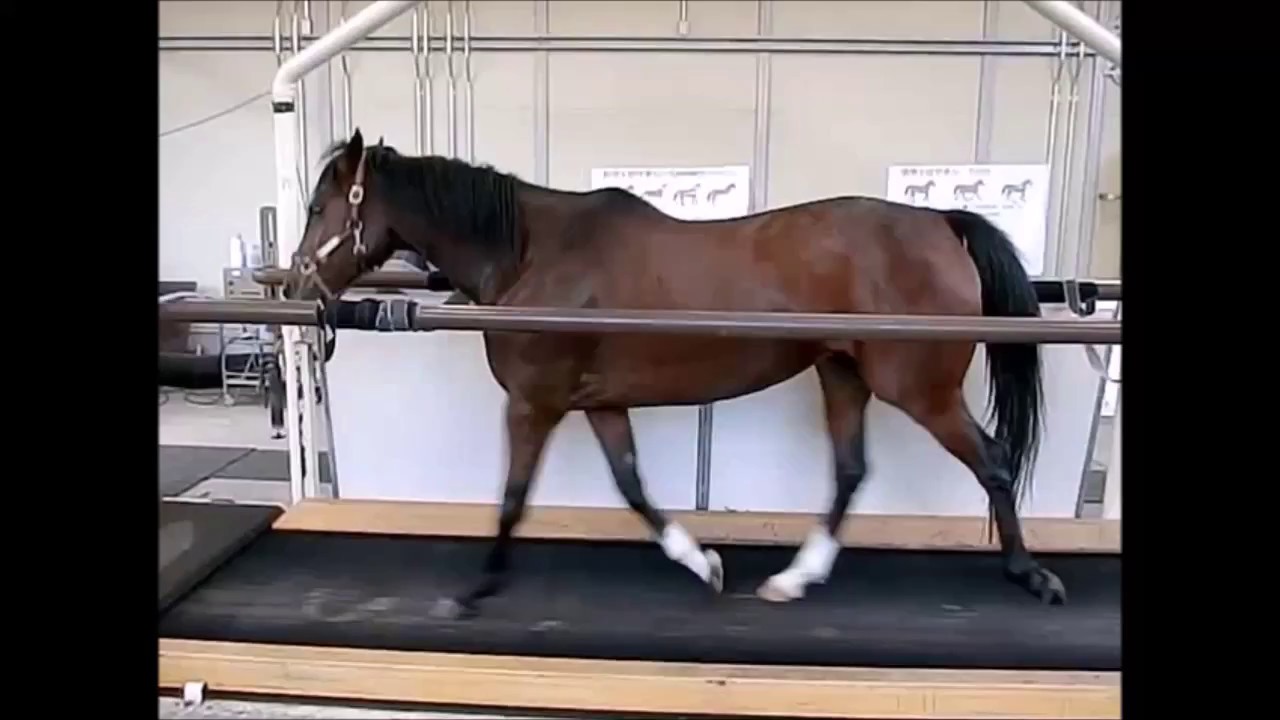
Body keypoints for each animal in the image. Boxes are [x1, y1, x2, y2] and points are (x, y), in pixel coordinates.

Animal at [284, 129, 1063, 620]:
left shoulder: (534, 402)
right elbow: (632, 487)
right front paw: (703, 563)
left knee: (992, 460)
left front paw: (476, 591)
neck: (534, 254)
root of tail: (941, 222)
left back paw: (1030, 575)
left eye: (320, 205)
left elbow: (511, 500)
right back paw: (793, 578)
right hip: (842, 372)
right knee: (850, 471)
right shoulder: (597, 403)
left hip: (920, 389)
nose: (295, 288)